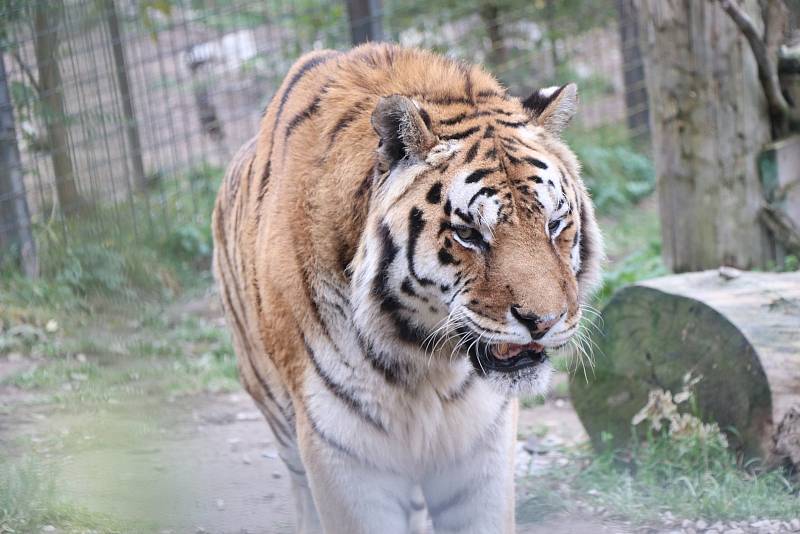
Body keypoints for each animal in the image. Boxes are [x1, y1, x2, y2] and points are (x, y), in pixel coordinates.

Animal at [211, 43, 600, 534]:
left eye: (554, 224)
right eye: (468, 234)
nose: (543, 322)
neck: (421, 360)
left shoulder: (481, 443)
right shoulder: (340, 448)